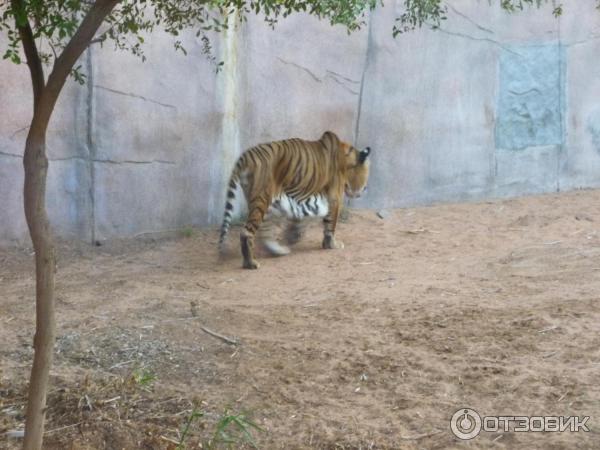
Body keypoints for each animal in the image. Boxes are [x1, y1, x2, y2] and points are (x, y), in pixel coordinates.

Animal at [218, 132, 368, 268]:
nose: (365, 188)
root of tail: (247, 155)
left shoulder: (306, 200)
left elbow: (302, 218)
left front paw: (292, 236)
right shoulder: (334, 199)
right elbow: (331, 225)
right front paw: (332, 245)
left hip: (262, 200)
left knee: (264, 229)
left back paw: (278, 251)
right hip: (262, 199)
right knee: (247, 232)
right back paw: (251, 263)